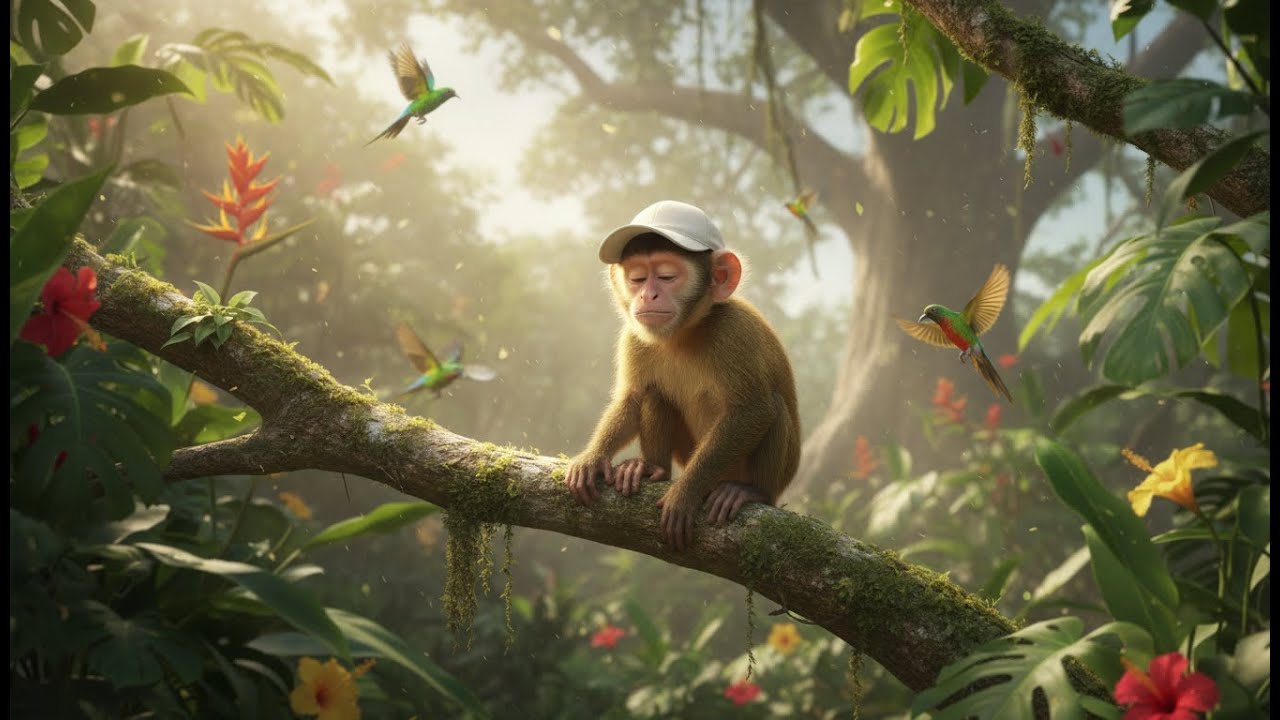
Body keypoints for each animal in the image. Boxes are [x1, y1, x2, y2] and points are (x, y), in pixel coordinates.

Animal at [565, 200, 801, 551]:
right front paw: (592, 457)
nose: (647, 295)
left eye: (667, 276)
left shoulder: (734, 331)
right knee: (654, 393)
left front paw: (685, 493)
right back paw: (652, 469)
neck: (684, 332)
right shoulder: (633, 336)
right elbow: (632, 398)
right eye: (637, 278)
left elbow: (753, 411)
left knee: (773, 407)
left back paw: (750, 492)